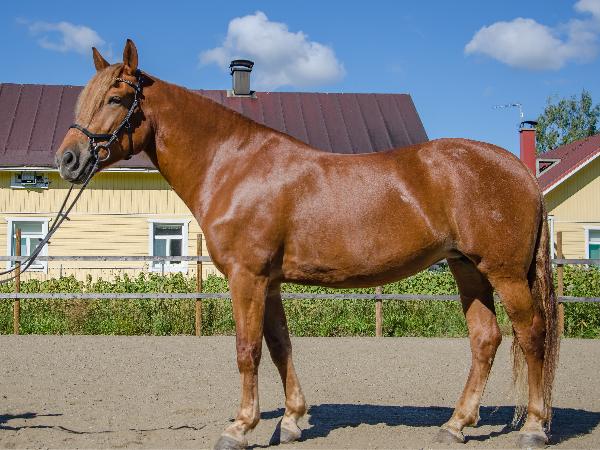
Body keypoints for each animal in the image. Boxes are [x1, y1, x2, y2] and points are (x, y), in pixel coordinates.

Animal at [55, 40, 559, 449]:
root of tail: (519, 170)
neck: (233, 166)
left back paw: (535, 428)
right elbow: (280, 345)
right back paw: (456, 424)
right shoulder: (270, 282)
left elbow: (247, 349)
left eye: (116, 97)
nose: (68, 160)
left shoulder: (247, 278)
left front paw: (241, 428)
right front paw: (292, 420)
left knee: (531, 333)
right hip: (467, 268)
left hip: (504, 273)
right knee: (485, 338)